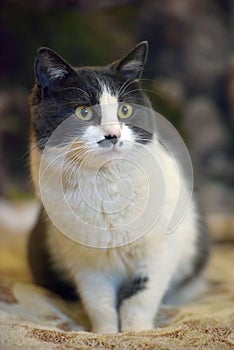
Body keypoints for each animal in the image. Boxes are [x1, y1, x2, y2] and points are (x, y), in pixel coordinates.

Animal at [27, 41, 210, 334]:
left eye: (125, 110)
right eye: (83, 111)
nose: (112, 135)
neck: (106, 187)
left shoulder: (158, 253)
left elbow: (140, 299)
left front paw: (137, 333)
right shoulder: (87, 265)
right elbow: (99, 303)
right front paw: (106, 334)